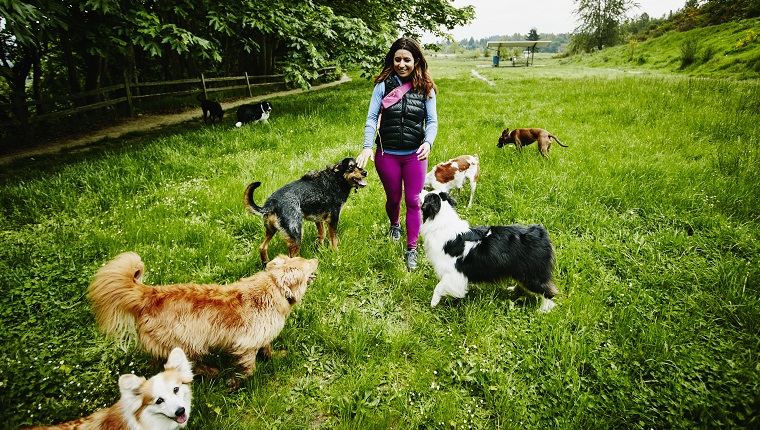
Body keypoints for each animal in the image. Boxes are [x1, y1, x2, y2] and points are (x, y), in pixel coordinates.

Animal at [87, 254, 316, 388]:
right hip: (187, 343)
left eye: (302, 257)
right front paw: (237, 382)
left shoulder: (261, 335)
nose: (316, 258)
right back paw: (212, 372)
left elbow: (267, 348)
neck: (275, 286)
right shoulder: (246, 345)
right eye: (307, 263)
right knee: (188, 365)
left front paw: (275, 356)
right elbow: (250, 369)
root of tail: (149, 294)